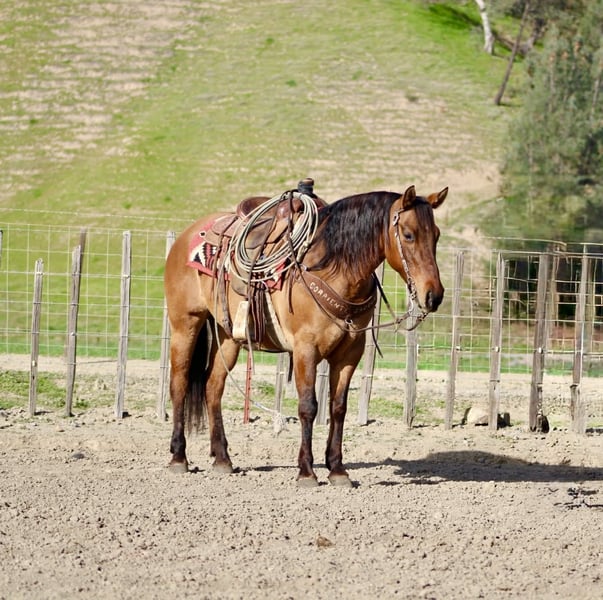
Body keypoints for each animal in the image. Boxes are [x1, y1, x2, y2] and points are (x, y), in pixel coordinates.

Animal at [164, 183, 447, 487]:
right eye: (408, 235)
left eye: (437, 235)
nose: (434, 295)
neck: (333, 268)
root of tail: (188, 235)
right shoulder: (305, 349)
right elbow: (308, 406)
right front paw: (307, 471)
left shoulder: (350, 352)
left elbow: (338, 407)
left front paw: (337, 469)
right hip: (185, 324)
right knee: (179, 383)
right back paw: (179, 457)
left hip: (228, 335)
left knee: (213, 386)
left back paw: (222, 459)